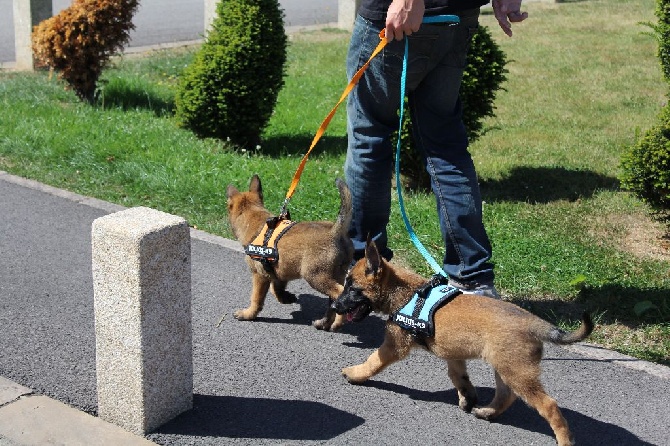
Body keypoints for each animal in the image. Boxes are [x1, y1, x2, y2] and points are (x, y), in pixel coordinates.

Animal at [227, 174, 354, 332]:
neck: (255, 219)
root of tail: (335, 232)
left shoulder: (259, 275)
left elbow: (256, 298)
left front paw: (248, 314)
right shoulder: (277, 271)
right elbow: (277, 287)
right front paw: (284, 298)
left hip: (316, 276)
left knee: (340, 294)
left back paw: (338, 323)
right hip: (336, 274)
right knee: (332, 302)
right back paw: (323, 323)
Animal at [334, 239, 596, 446]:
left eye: (353, 289)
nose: (335, 306)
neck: (405, 294)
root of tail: (533, 322)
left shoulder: (393, 347)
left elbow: (373, 361)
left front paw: (355, 373)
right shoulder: (453, 352)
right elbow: (457, 375)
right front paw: (467, 397)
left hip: (516, 371)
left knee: (548, 405)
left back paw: (564, 440)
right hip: (505, 367)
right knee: (506, 395)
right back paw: (488, 412)